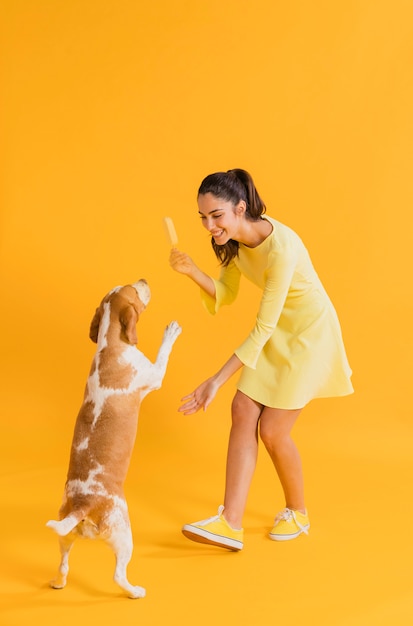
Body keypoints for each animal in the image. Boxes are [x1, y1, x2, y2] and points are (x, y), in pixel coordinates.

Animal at [45, 278, 181, 596]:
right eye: (134, 289)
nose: (144, 279)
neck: (110, 345)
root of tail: (83, 504)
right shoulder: (155, 374)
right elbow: (163, 352)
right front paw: (170, 332)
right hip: (123, 535)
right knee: (118, 575)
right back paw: (135, 592)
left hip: (65, 535)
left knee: (63, 564)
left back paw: (58, 582)